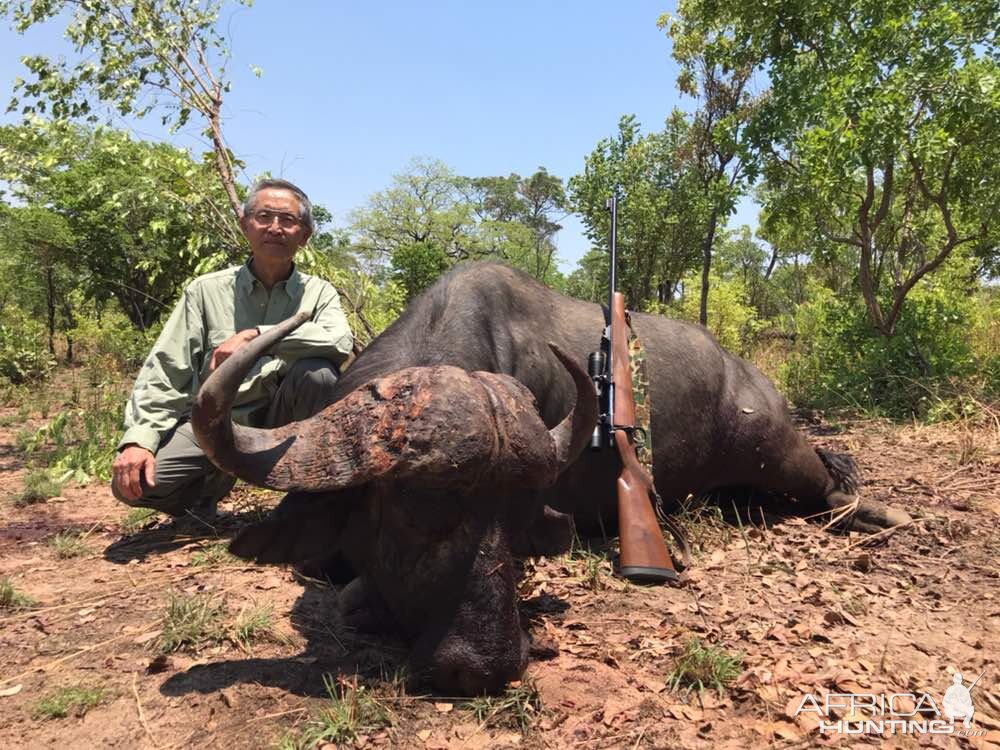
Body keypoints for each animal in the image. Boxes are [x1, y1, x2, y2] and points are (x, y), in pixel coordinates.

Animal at [189, 262, 916, 700]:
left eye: (513, 515)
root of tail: (744, 374)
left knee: (829, 478)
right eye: (412, 513)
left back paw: (881, 515)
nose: (482, 666)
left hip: (775, 450)